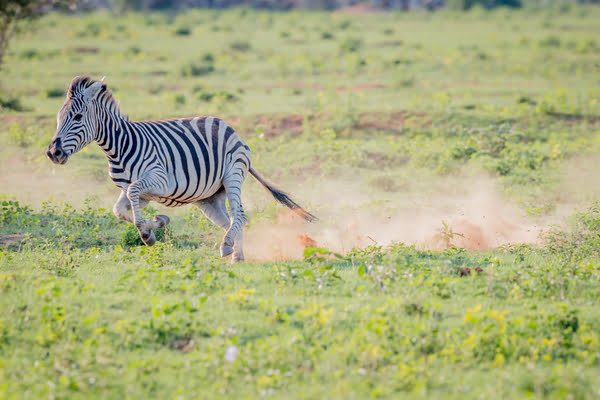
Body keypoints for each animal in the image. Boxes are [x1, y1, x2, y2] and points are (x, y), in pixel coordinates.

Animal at [45, 76, 316, 260]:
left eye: (78, 117)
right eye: (58, 117)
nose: (52, 152)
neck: (119, 147)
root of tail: (227, 126)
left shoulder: (159, 179)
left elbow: (133, 193)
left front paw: (147, 234)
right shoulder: (139, 194)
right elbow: (120, 210)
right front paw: (157, 223)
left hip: (232, 174)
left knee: (240, 215)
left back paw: (226, 247)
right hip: (209, 198)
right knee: (228, 221)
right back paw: (237, 255)